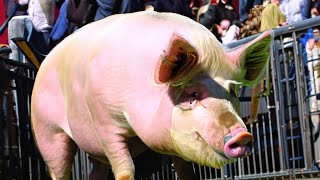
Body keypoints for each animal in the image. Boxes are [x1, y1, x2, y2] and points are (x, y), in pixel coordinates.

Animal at [30, 10, 272, 179]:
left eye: (232, 91)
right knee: (59, 167)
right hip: (46, 130)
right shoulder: (102, 119)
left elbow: (186, 171)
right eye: (192, 94)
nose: (242, 135)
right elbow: (125, 169)